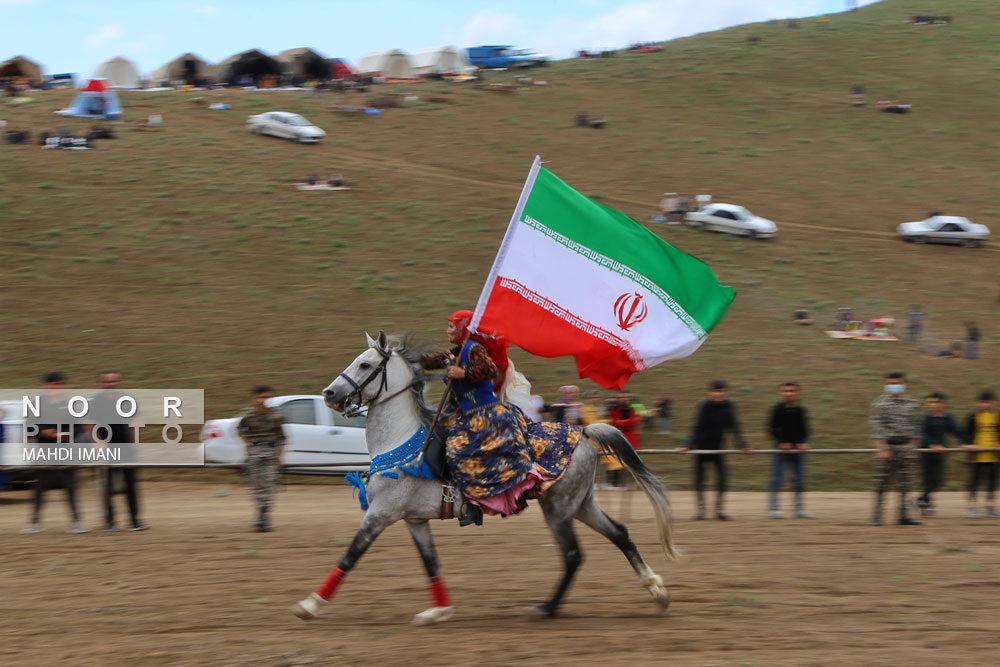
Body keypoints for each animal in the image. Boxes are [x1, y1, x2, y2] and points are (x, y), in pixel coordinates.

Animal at [292, 332, 676, 628]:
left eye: (365, 364)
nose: (329, 394)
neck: (401, 441)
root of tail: (582, 431)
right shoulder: (414, 520)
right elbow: (431, 563)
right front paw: (439, 611)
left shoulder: (380, 514)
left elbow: (351, 554)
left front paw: (309, 605)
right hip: (580, 505)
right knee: (620, 534)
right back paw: (657, 592)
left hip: (559, 509)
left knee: (572, 555)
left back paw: (547, 608)